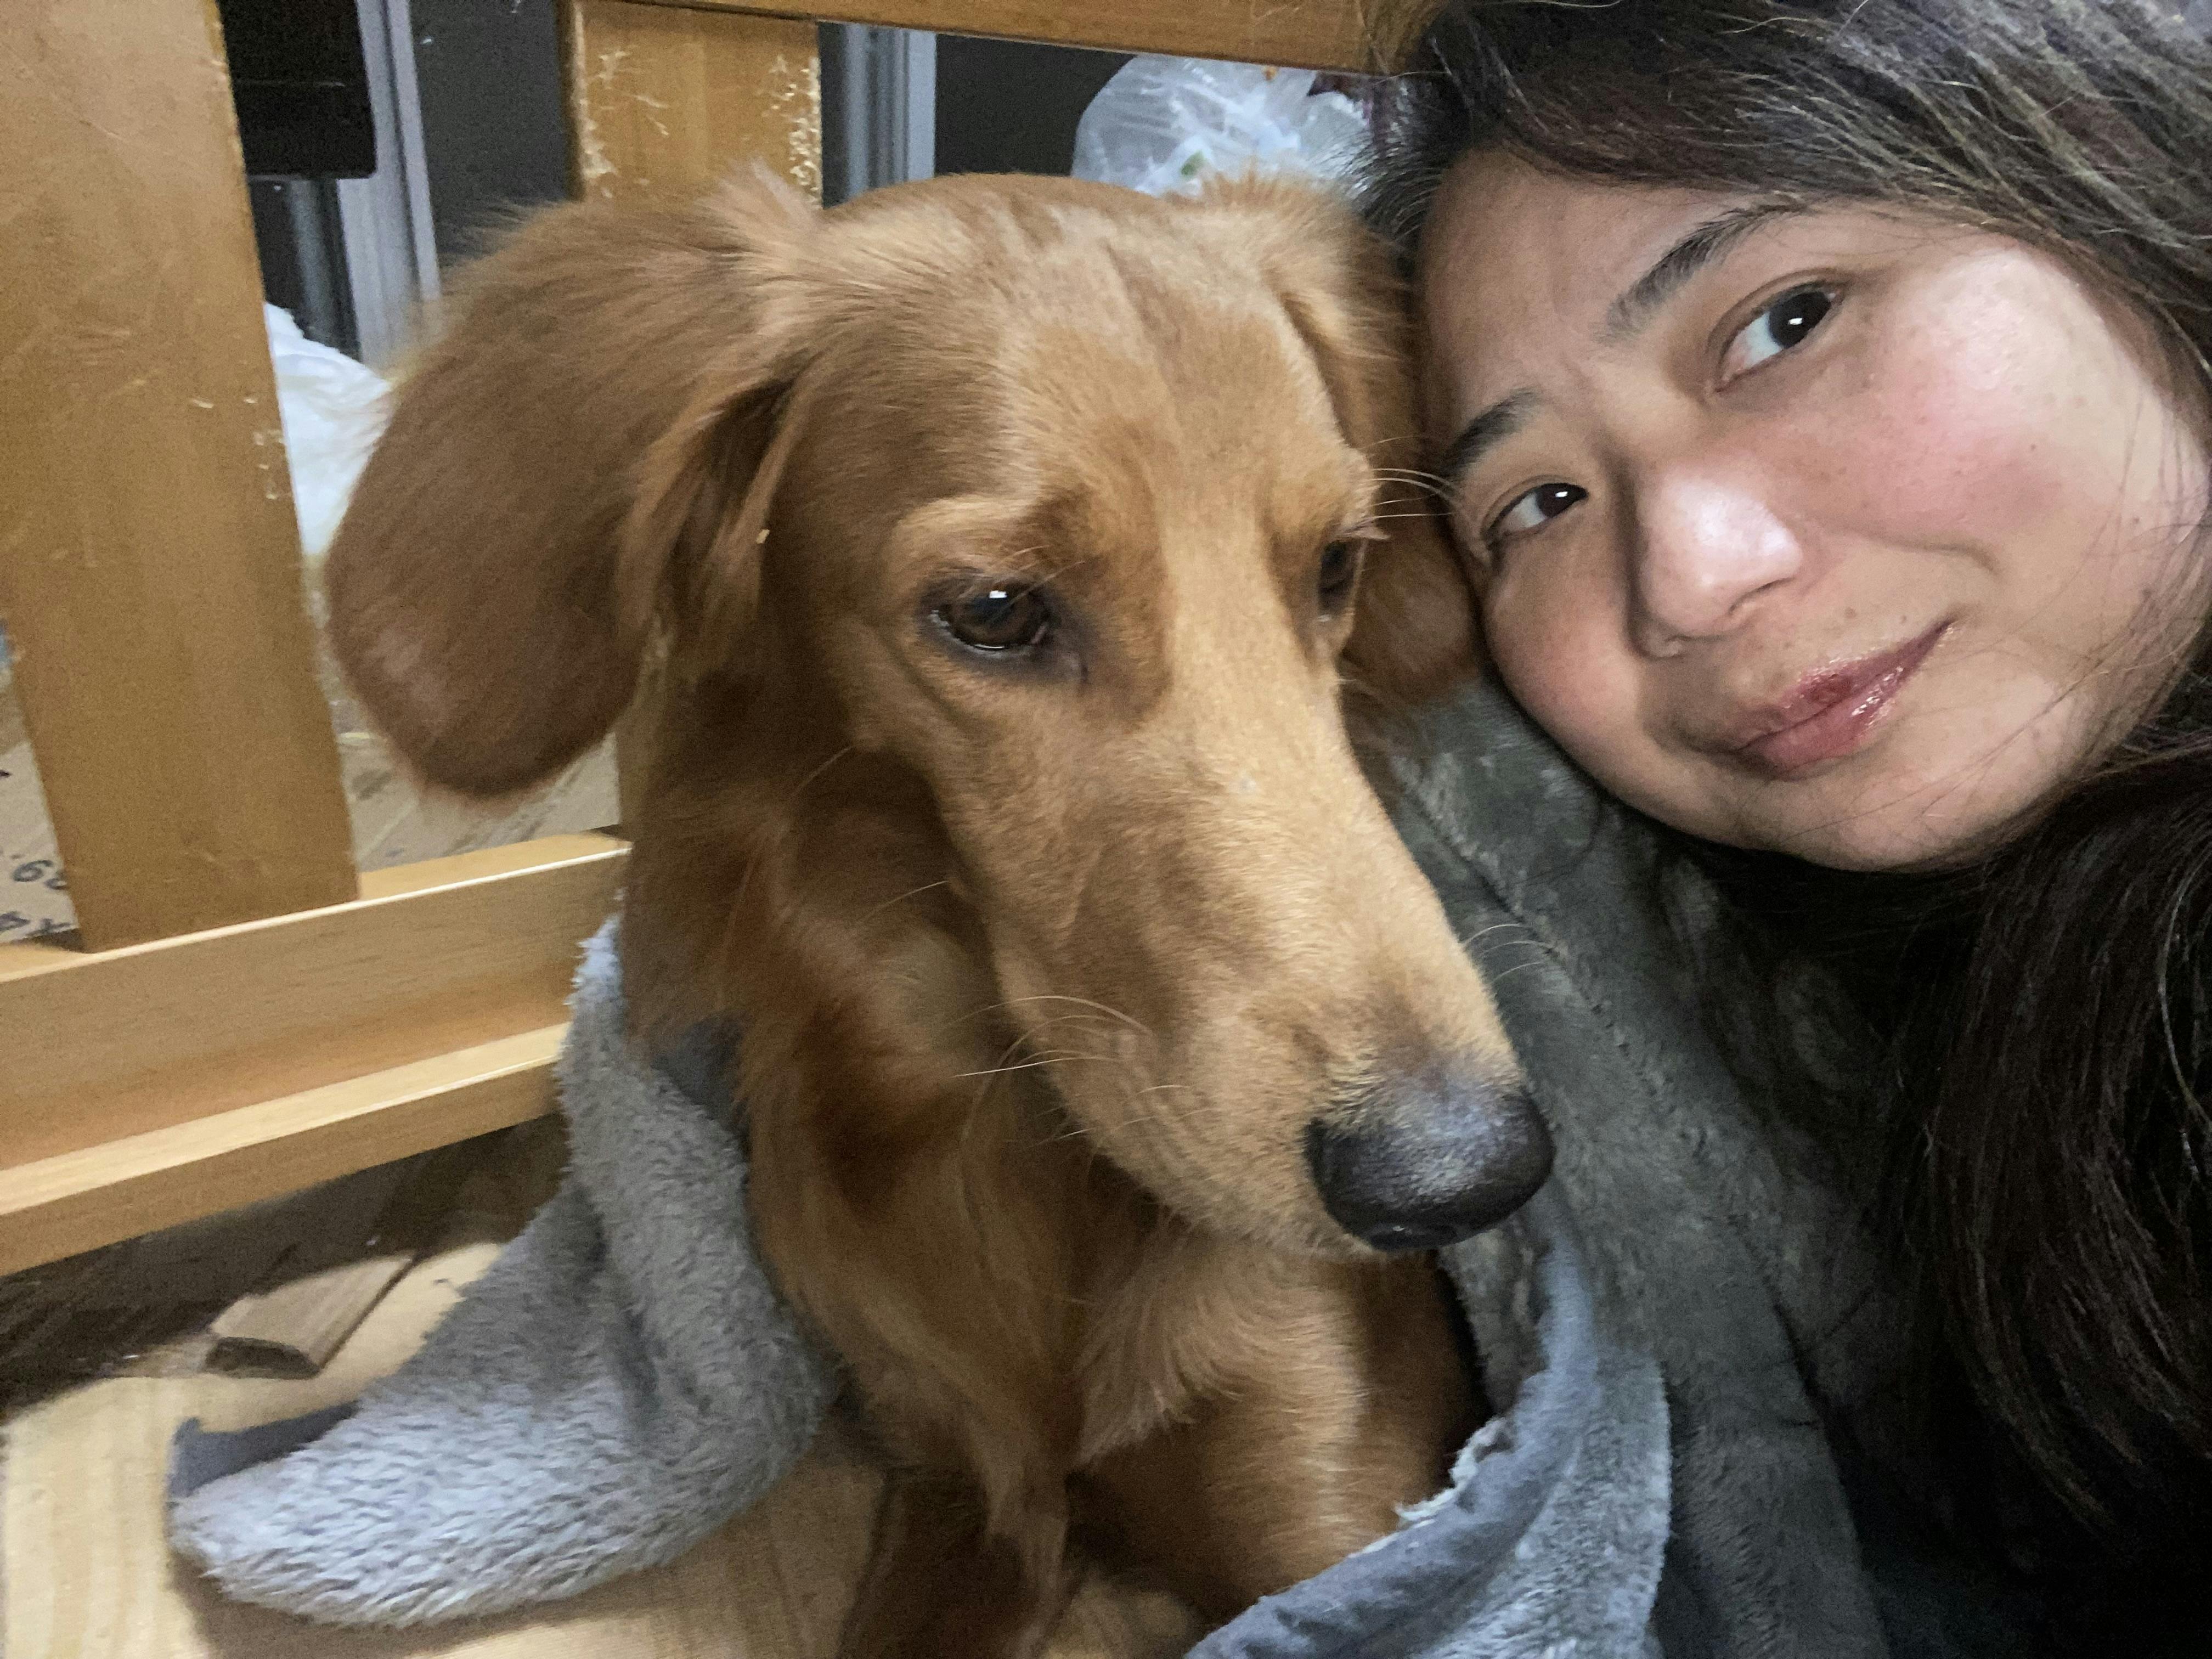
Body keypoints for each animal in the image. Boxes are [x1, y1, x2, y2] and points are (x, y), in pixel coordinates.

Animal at [324, 170, 1552, 1656]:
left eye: (1335, 567)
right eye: (997, 612)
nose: (1464, 1177)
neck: (1013, 1132)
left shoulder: (1359, 1544)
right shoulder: (962, 1490)